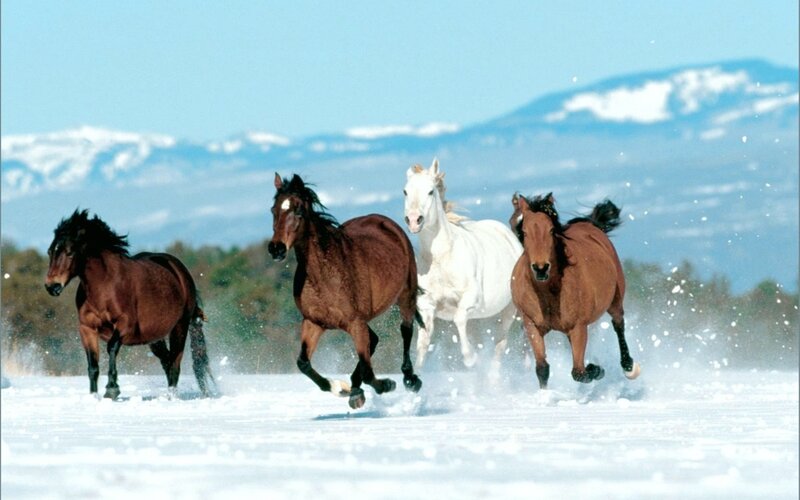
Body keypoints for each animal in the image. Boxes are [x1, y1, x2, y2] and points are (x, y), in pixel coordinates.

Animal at [44, 209, 215, 399]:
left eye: (70, 252)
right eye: (50, 251)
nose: (52, 286)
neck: (104, 285)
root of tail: (180, 271)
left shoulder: (125, 324)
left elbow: (112, 347)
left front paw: (112, 389)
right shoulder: (87, 328)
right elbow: (93, 365)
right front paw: (94, 396)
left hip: (180, 327)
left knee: (175, 364)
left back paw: (172, 397)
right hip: (154, 337)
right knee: (167, 361)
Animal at [267, 173, 423, 409]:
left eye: (298, 210)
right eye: (273, 210)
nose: (276, 249)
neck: (325, 276)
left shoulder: (355, 322)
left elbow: (368, 371)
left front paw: (386, 384)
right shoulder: (314, 322)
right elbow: (303, 363)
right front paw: (341, 389)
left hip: (406, 295)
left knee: (405, 331)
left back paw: (410, 379)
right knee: (374, 341)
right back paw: (355, 390)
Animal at [403, 158, 522, 375]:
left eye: (431, 191)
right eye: (405, 191)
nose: (414, 220)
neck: (441, 259)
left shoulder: (470, 299)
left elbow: (458, 319)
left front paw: (470, 358)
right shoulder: (427, 307)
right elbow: (423, 344)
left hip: (509, 311)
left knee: (500, 345)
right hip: (480, 319)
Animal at [510, 193, 641, 389]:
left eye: (551, 230)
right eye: (524, 232)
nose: (541, 268)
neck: (548, 293)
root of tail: (590, 225)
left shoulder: (578, 327)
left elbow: (578, 372)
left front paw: (596, 370)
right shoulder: (532, 325)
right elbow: (542, 368)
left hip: (615, 300)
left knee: (618, 324)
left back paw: (629, 367)